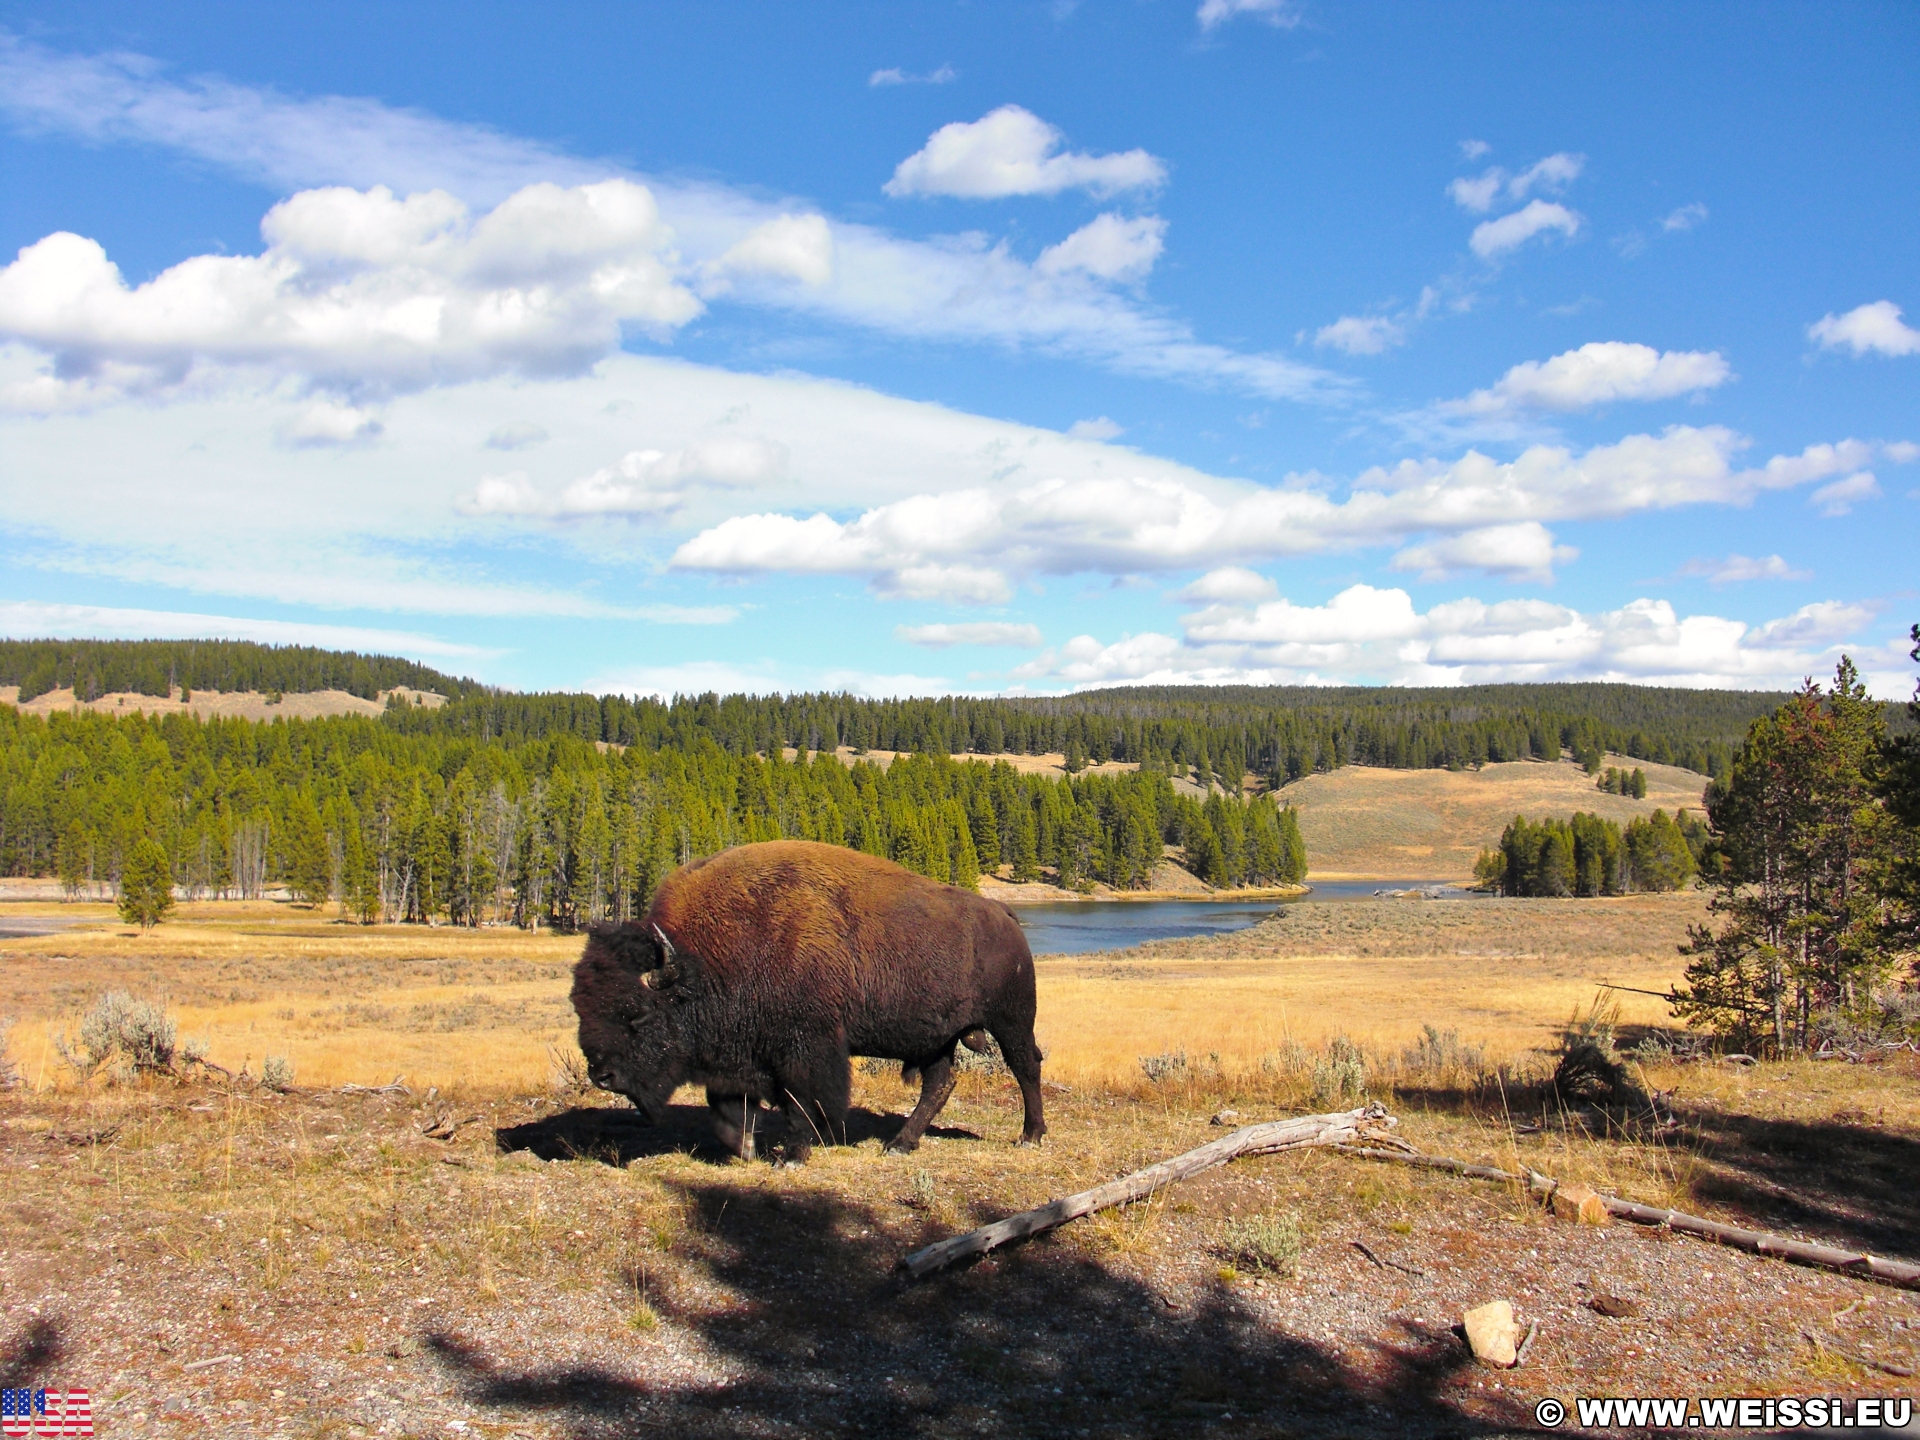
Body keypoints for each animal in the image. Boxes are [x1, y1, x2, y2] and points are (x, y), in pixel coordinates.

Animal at [568, 844, 1052, 1159]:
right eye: (580, 1007)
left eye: (638, 1015)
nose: (602, 1075)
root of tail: (1003, 915)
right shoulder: (741, 1052)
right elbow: (728, 1107)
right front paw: (746, 1147)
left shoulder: (806, 1047)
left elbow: (802, 1101)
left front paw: (793, 1153)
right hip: (936, 1038)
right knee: (940, 1083)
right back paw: (899, 1144)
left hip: (1011, 1020)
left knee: (1026, 1067)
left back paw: (1030, 1136)